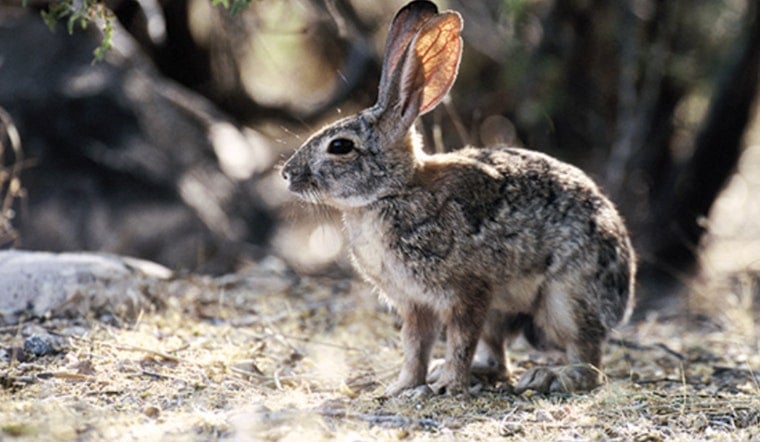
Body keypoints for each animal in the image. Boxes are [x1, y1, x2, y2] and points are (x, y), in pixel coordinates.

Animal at [281, 0, 635, 396]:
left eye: (340, 147)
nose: (287, 174)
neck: (393, 192)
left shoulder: (467, 292)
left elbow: (460, 341)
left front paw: (449, 386)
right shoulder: (415, 304)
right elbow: (415, 346)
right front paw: (402, 387)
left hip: (566, 298)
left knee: (588, 358)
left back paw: (550, 377)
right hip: (502, 312)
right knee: (498, 359)